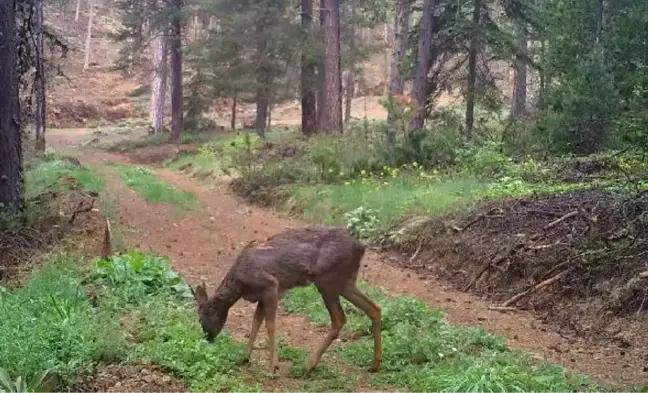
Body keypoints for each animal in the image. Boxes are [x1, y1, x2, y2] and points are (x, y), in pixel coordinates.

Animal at [190, 225, 382, 372]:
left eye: (201, 317)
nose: (208, 338)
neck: (239, 285)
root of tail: (362, 247)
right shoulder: (261, 295)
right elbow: (256, 322)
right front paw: (244, 358)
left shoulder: (271, 286)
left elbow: (270, 324)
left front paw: (273, 366)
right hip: (345, 282)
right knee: (374, 308)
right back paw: (374, 364)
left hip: (327, 280)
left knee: (339, 319)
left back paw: (309, 366)